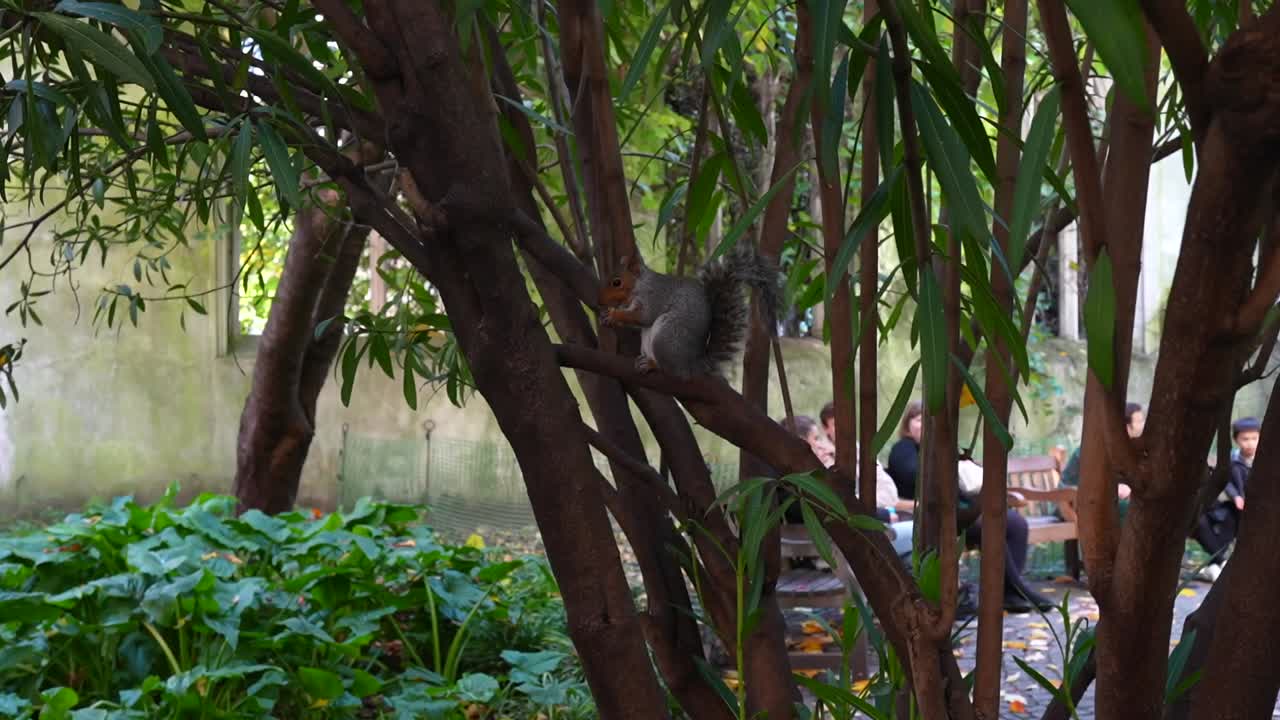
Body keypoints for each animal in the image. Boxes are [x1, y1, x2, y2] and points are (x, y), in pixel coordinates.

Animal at [597, 245, 781, 379]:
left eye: (616, 282)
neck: (640, 284)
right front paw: (609, 316)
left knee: (671, 370)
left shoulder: (654, 296)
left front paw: (614, 314)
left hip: (667, 337)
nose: (600, 301)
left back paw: (653, 365)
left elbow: (645, 317)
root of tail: (692, 364)